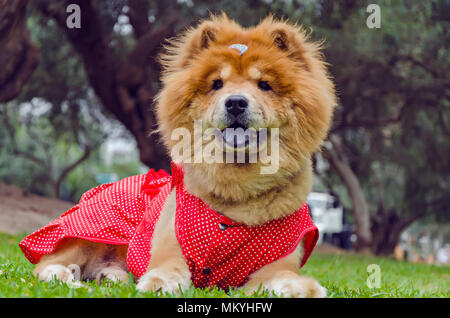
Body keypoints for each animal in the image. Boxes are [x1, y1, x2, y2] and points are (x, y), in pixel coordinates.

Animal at [22, 14, 338, 298]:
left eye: (264, 85)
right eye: (217, 84)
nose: (236, 102)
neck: (237, 193)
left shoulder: (277, 263)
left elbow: (284, 277)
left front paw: (303, 289)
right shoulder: (171, 244)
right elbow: (169, 267)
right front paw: (160, 283)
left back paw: (109, 277)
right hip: (87, 234)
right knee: (48, 265)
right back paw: (70, 279)